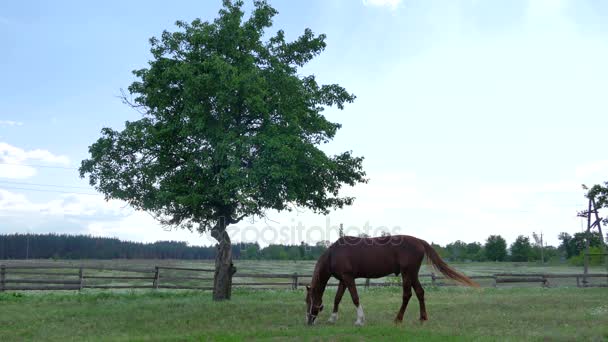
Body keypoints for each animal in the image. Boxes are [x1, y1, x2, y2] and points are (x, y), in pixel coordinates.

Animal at [306, 235, 478, 326]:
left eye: (309, 301)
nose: (309, 321)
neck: (334, 254)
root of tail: (419, 241)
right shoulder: (343, 279)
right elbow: (337, 298)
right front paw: (332, 318)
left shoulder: (348, 278)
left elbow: (355, 298)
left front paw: (360, 320)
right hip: (412, 274)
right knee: (420, 292)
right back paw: (422, 318)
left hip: (407, 273)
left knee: (407, 295)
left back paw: (398, 319)